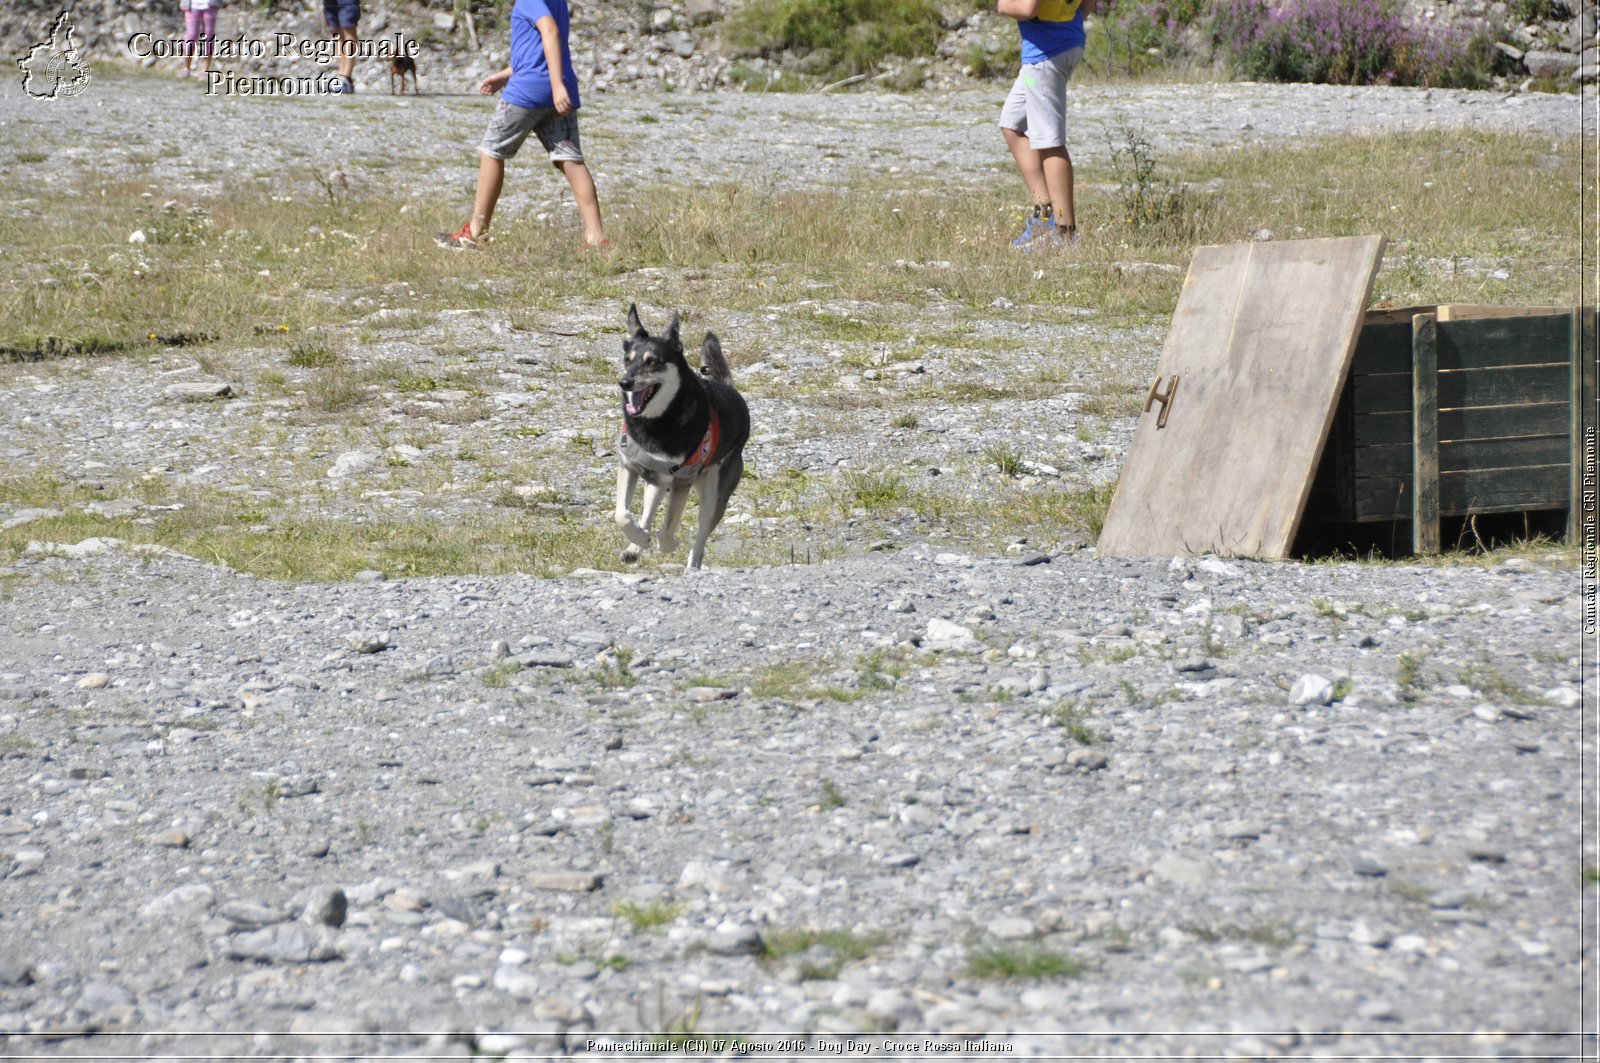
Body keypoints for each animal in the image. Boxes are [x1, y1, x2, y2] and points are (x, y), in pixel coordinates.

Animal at [617, 302, 755, 569]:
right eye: (628, 360)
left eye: (652, 362)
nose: (624, 382)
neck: (656, 422)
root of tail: (730, 389)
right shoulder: (629, 466)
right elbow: (623, 515)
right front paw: (638, 538)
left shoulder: (682, 481)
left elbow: (667, 528)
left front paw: (668, 545)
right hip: (656, 482)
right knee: (647, 512)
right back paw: (635, 546)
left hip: (714, 495)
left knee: (701, 537)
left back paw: (691, 566)